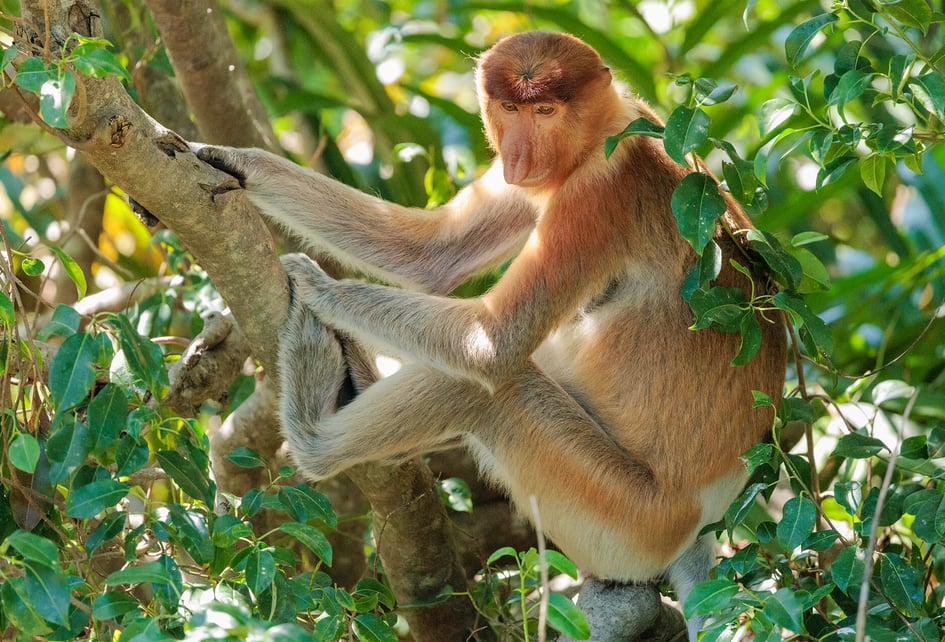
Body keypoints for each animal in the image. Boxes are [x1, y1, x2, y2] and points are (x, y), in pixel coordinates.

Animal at [195, 31, 786, 640]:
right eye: (509, 108)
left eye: (545, 110)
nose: (519, 159)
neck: (603, 131)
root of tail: (704, 520)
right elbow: (432, 255)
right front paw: (224, 157)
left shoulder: (599, 192)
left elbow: (492, 342)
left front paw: (318, 286)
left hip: (626, 521)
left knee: (488, 389)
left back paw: (314, 427)